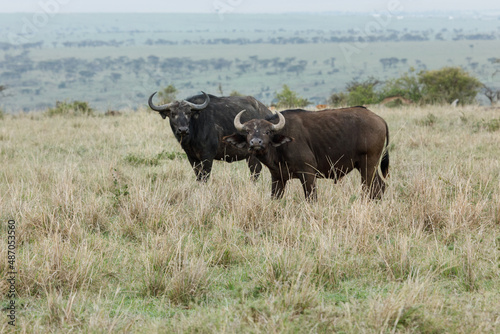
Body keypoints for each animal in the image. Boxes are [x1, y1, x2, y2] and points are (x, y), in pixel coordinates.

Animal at [223, 107, 390, 201]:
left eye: (268, 131)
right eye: (248, 132)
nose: (256, 143)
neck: (280, 149)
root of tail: (380, 119)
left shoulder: (308, 174)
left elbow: (311, 198)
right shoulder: (277, 178)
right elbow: (274, 199)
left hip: (368, 165)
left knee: (370, 188)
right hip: (366, 166)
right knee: (380, 186)